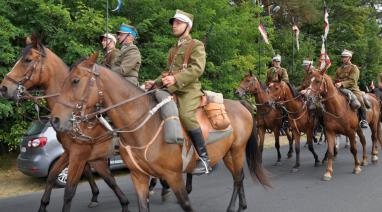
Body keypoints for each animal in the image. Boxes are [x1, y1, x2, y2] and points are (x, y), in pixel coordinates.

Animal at [0, 35, 129, 211]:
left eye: (27, 60)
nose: (4, 88)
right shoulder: (73, 153)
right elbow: (53, 175)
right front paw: (43, 205)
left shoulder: (80, 154)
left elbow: (70, 189)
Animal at [50, 51, 272, 212]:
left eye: (76, 80)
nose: (55, 120)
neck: (143, 125)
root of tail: (241, 105)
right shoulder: (138, 177)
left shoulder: (174, 177)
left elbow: (186, 204)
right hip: (226, 154)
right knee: (238, 178)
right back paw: (241, 205)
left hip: (236, 151)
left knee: (238, 178)